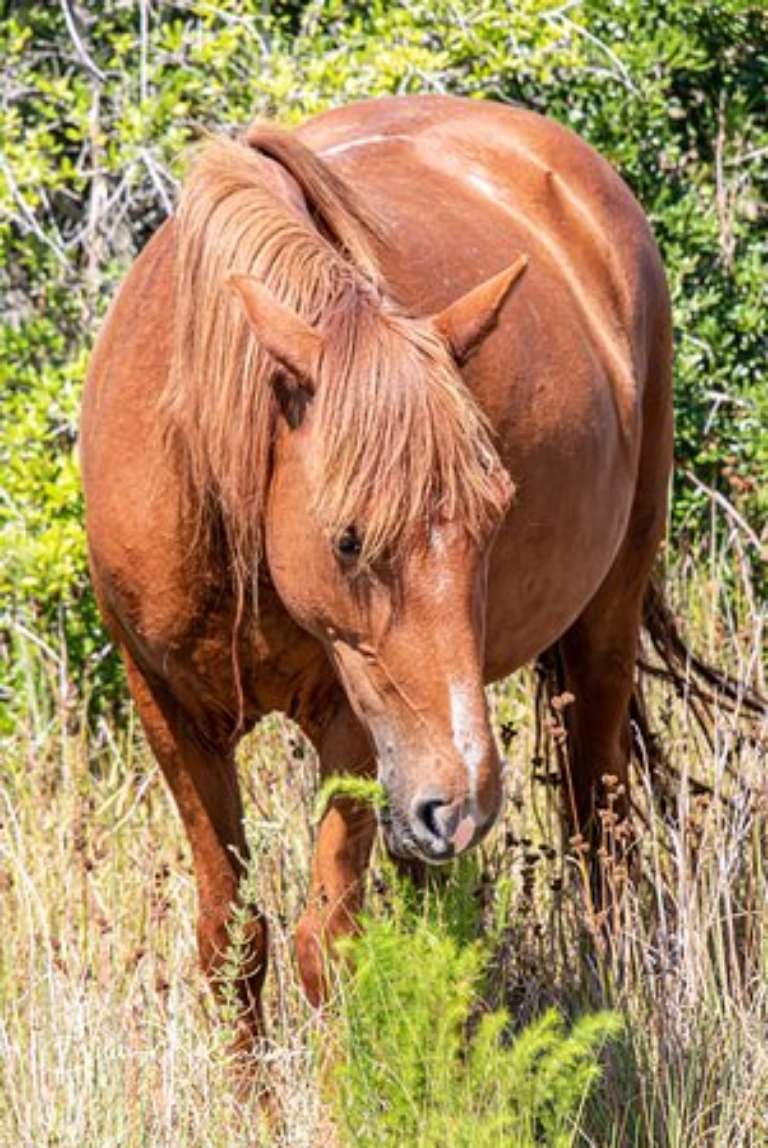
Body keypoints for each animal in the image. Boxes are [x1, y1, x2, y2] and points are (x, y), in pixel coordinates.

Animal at [80, 94, 673, 1052]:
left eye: (496, 516)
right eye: (350, 540)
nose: (466, 792)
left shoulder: (355, 719)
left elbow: (327, 944)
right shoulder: (170, 712)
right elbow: (233, 940)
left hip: (599, 630)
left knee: (600, 827)